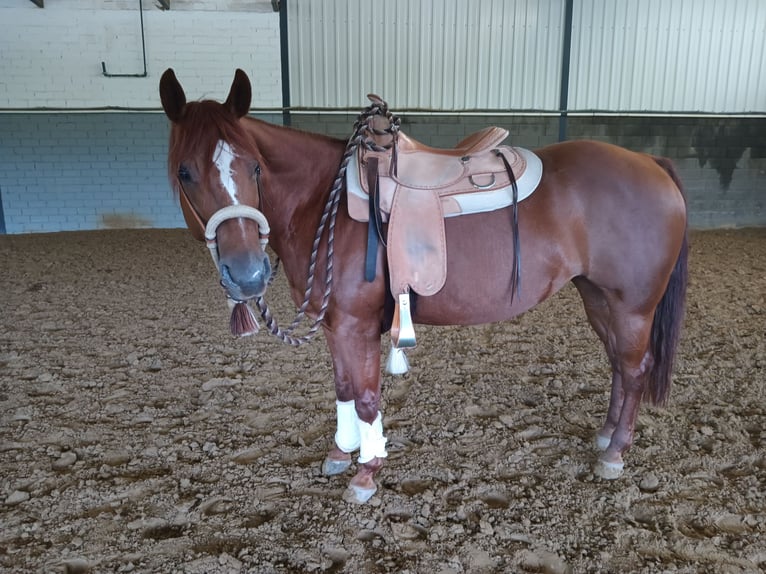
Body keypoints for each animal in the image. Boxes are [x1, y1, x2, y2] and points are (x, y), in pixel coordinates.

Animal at [160, 70, 688, 506]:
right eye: (184, 171)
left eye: (254, 167)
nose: (246, 273)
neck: (321, 199)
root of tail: (652, 163)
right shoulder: (334, 325)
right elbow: (344, 387)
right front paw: (340, 453)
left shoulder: (355, 325)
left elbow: (367, 395)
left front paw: (366, 472)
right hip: (597, 297)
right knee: (618, 364)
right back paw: (605, 436)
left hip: (632, 305)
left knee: (635, 368)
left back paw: (615, 453)